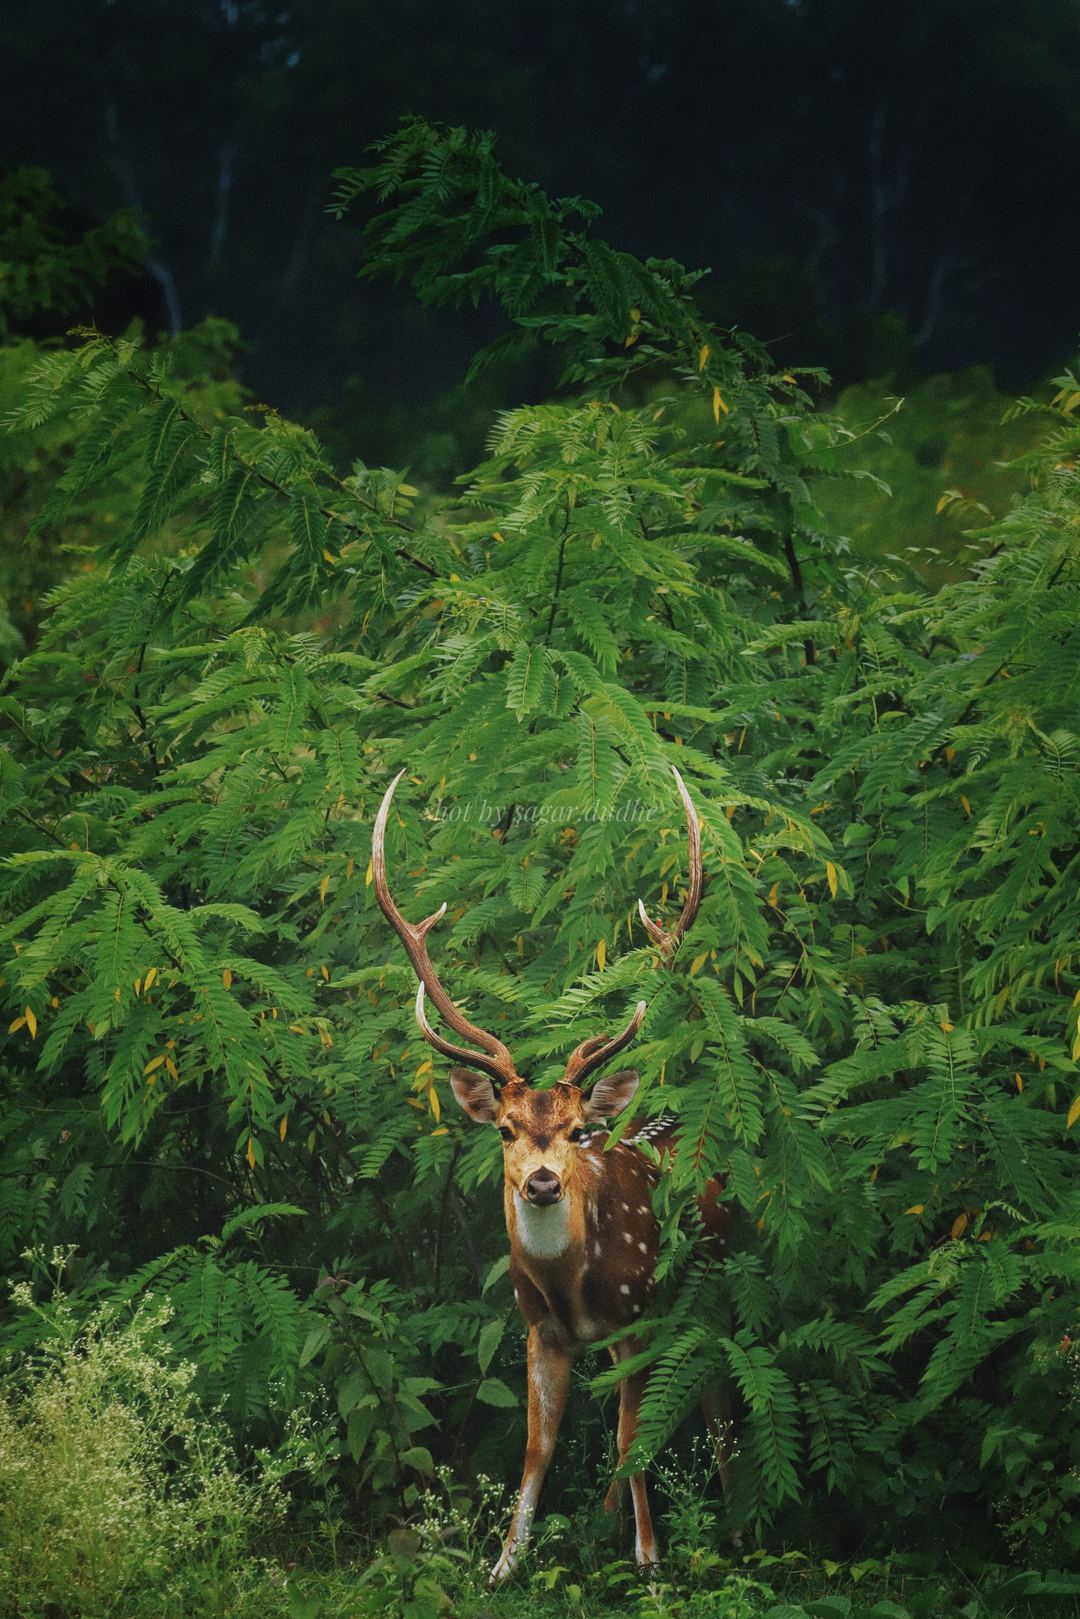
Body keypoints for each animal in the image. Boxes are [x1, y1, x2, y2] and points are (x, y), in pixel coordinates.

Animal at [371, 765, 732, 1582]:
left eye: (572, 1131)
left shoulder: (637, 1314)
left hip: (713, 1284)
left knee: (714, 1400)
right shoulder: (537, 1327)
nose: (540, 1181)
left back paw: (737, 1516)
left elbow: (633, 1435)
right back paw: (604, 1521)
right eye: (506, 1129)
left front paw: (650, 1562)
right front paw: (505, 1563)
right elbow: (539, 1445)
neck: (575, 1284)